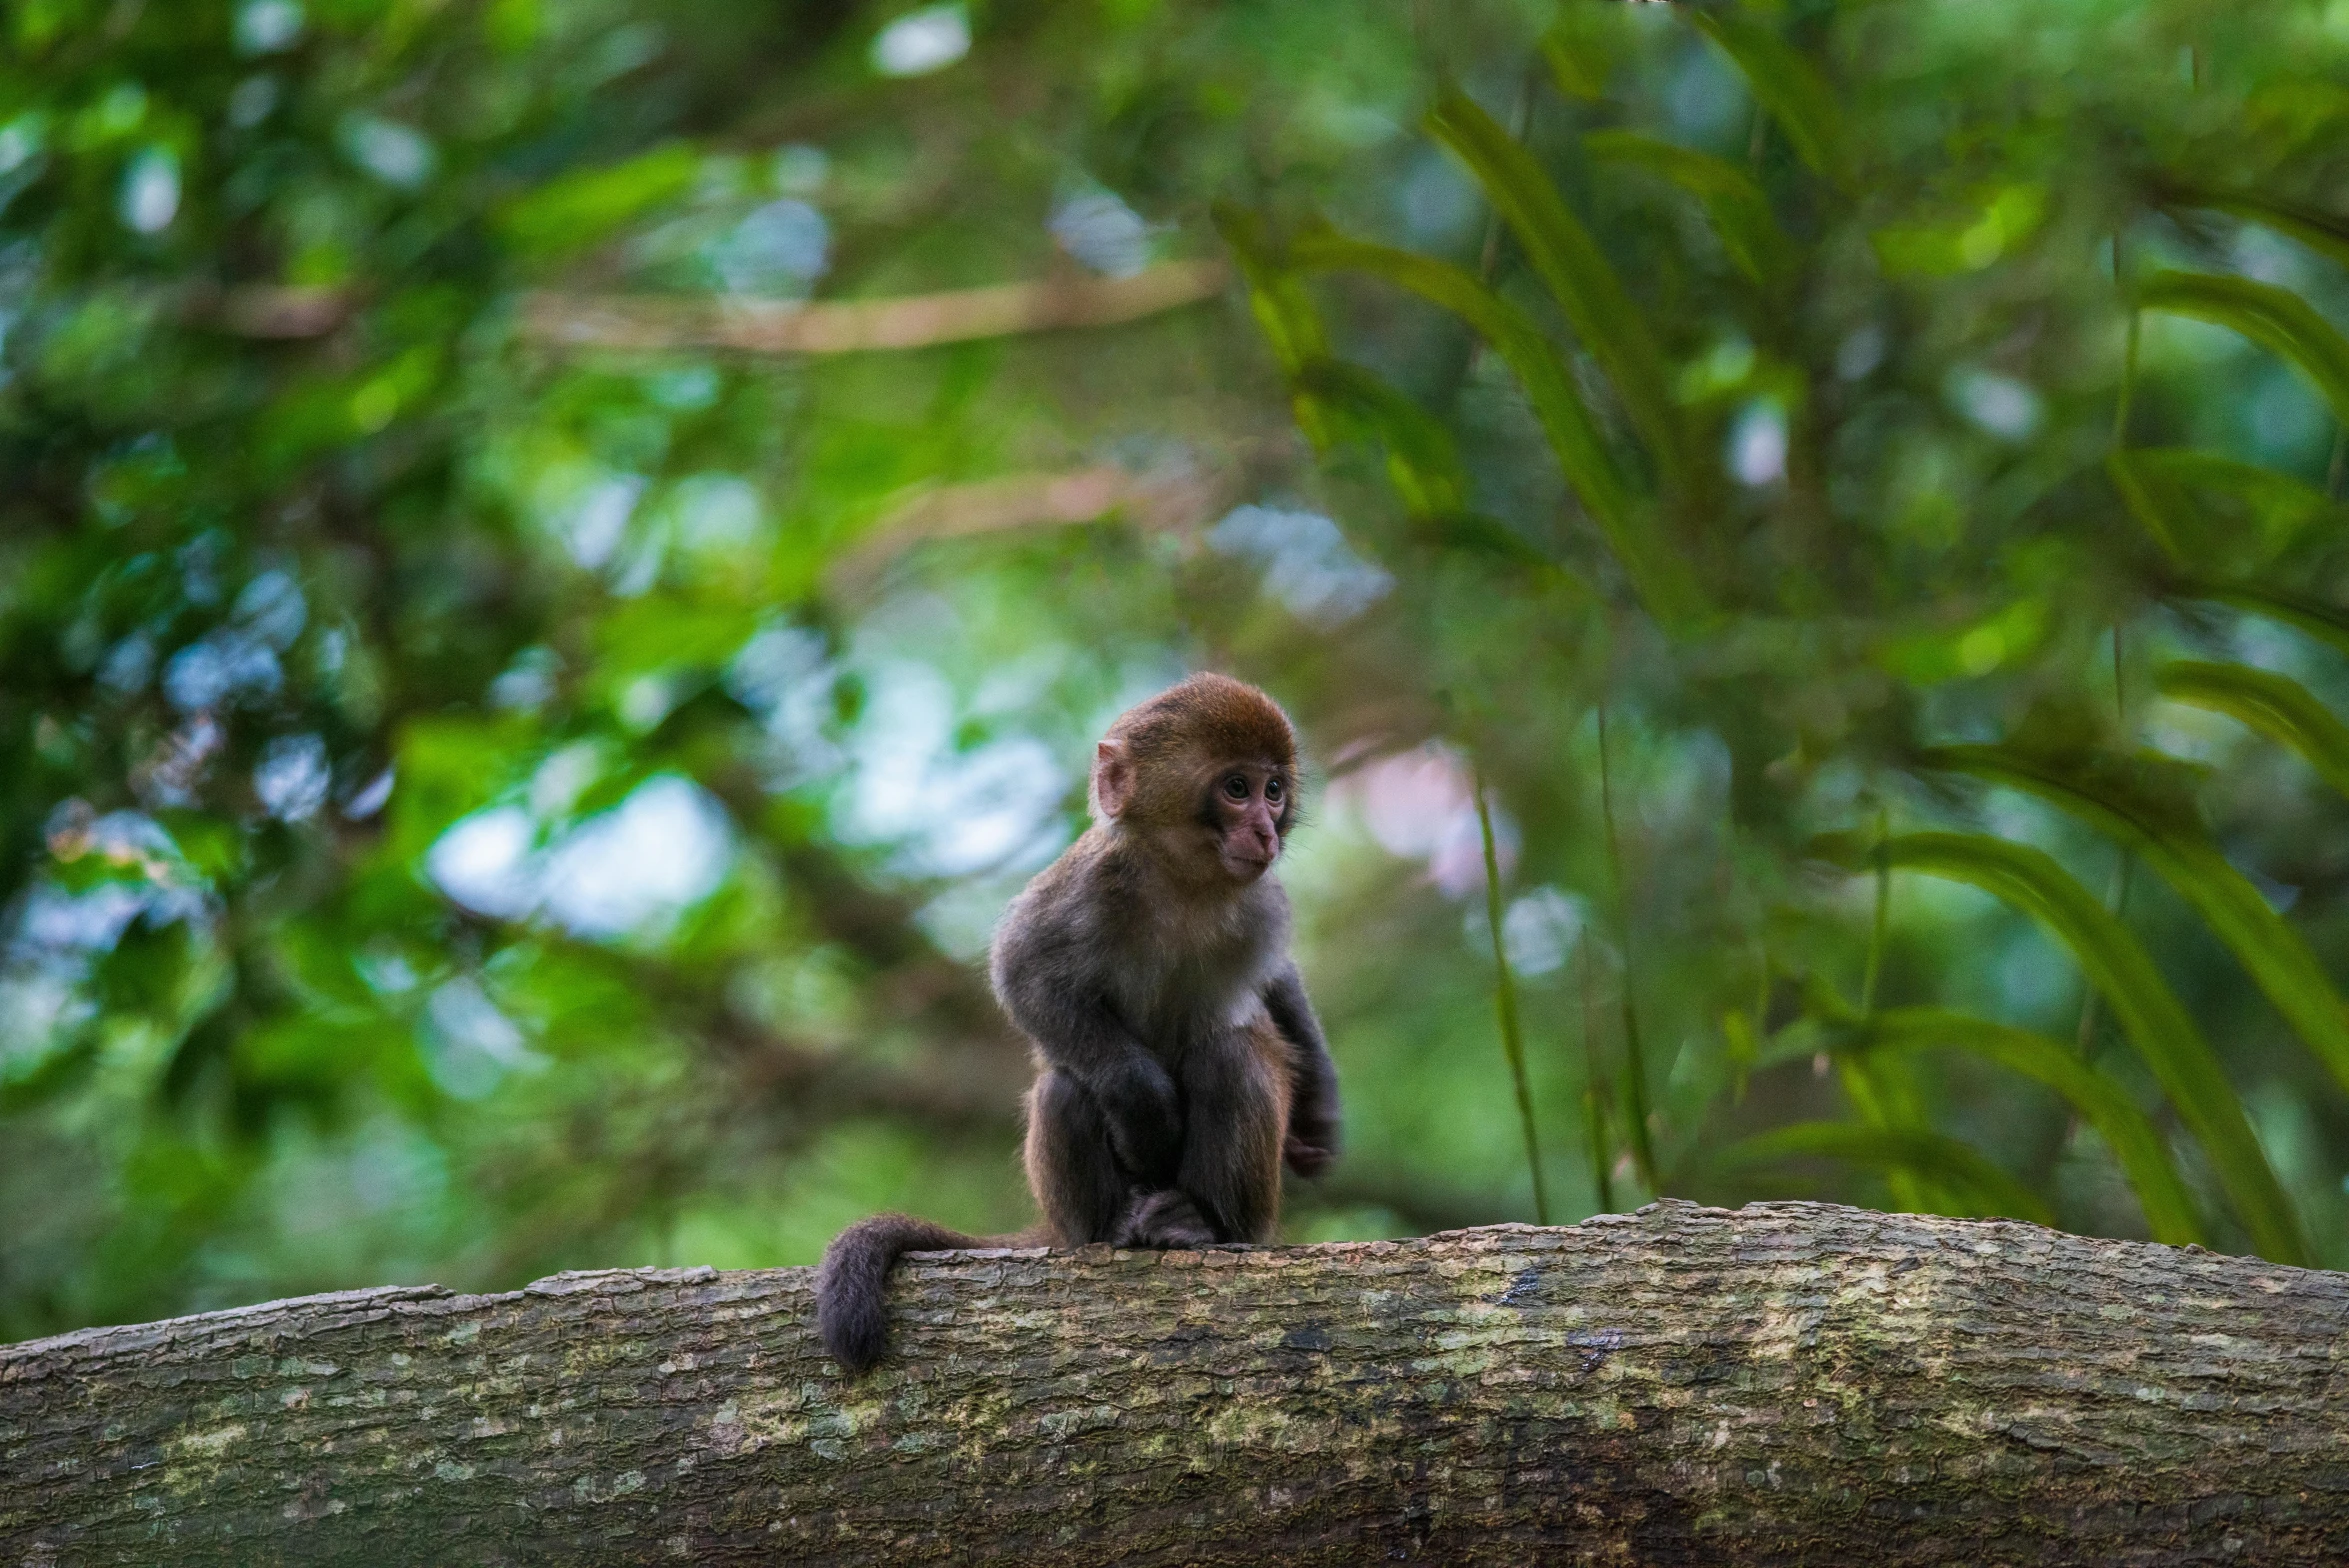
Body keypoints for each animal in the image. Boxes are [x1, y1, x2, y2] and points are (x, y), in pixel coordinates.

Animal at [817, 676, 1343, 1370]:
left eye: (1274, 789)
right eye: (1237, 788)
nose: (1263, 829)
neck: (1183, 883)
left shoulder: (1262, 904)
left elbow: (1276, 981)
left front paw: (1318, 1112)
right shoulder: (1088, 884)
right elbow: (1023, 972)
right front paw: (1142, 1102)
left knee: (1228, 1057)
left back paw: (1202, 1226)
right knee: (1068, 1084)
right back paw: (1112, 1230)